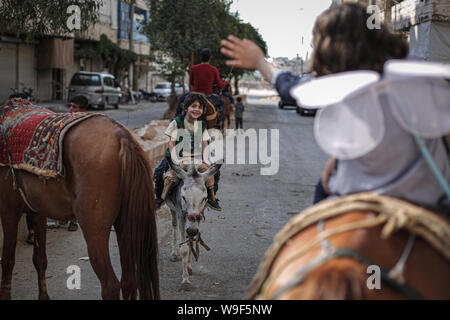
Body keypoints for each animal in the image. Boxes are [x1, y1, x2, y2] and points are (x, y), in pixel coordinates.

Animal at [0, 115, 160, 300]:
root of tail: (122, 136)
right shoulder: (37, 211)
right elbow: (39, 259)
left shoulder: (8, 208)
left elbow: (8, 260)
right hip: (125, 224)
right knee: (129, 282)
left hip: (94, 231)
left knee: (110, 285)